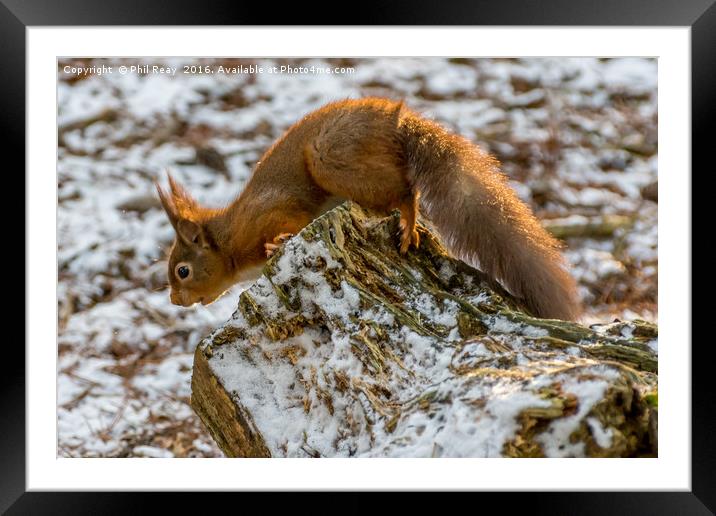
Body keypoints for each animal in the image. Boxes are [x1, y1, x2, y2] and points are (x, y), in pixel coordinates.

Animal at [158, 98, 580, 318]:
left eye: (182, 271)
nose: (175, 301)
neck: (229, 241)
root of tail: (397, 119)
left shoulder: (271, 213)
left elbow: (287, 222)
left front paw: (278, 243)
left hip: (330, 159)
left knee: (406, 191)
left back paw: (408, 223)